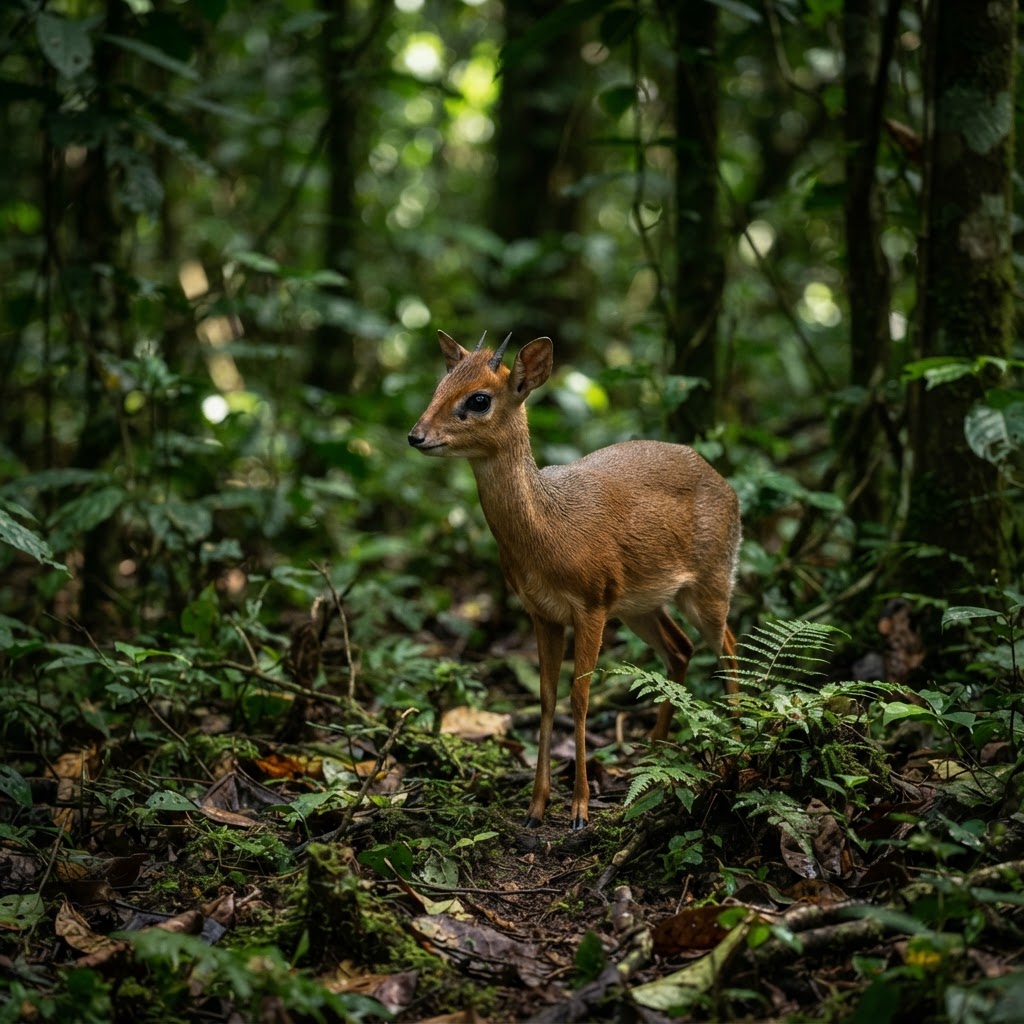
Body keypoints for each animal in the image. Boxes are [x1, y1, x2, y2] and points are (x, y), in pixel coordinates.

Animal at [409, 330, 741, 830]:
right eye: (439, 386)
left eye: (479, 399)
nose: (416, 435)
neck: (550, 531)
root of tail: (727, 484)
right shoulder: (541, 612)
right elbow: (546, 698)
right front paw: (536, 806)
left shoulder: (592, 603)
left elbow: (579, 699)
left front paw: (581, 808)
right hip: (641, 604)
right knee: (681, 648)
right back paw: (652, 754)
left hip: (710, 579)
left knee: (729, 648)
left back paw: (739, 745)